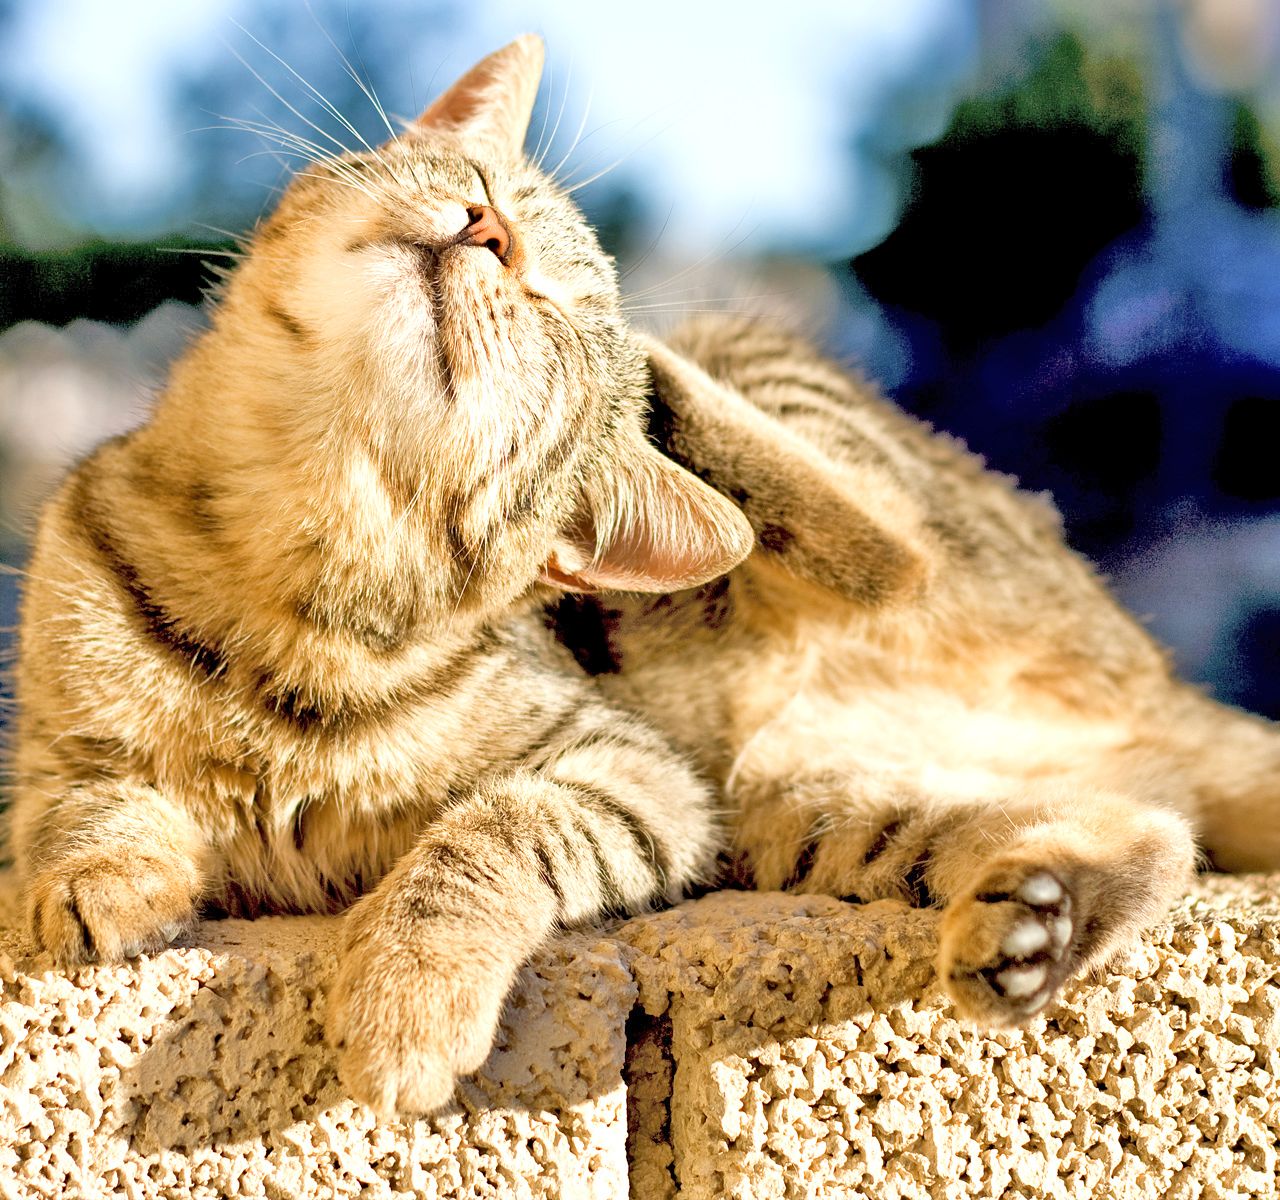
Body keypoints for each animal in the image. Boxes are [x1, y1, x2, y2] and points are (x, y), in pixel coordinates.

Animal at [10, 30, 1280, 1115]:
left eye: (556, 319)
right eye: (479, 175)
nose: (488, 230)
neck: (275, 576)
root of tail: (1149, 677)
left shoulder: (639, 783)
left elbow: (481, 839)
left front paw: (409, 1000)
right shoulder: (53, 744)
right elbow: (84, 800)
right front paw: (96, 878)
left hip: (819, 528)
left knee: (890, 543)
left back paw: (667, 388)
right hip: (806, 810)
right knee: (1149, 830)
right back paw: (1033, 927)